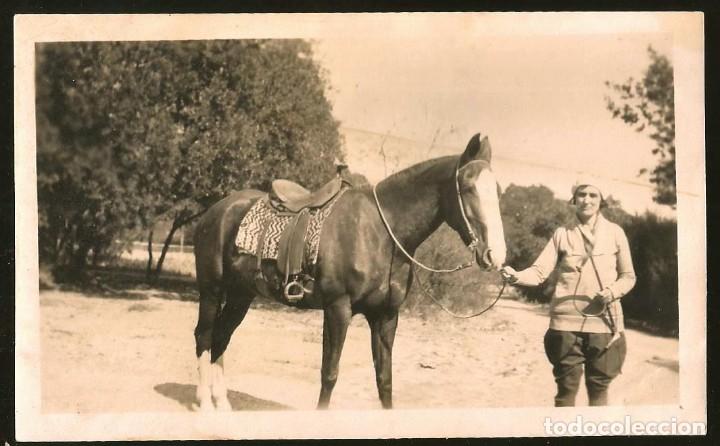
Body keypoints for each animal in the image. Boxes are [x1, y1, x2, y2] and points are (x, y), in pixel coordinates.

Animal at [192, 133, 507, 411]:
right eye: (469, 188)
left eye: (496, 190)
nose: (496, 255)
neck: (380, 232)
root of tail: (216, 211)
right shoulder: (338, 309)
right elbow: (329, 374)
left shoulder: (385, 316)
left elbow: (384, 380)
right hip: (211, 290)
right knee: (204, 336)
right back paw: (205, 403)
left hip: (240, 295)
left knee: (221, 337)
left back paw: (222, 403)